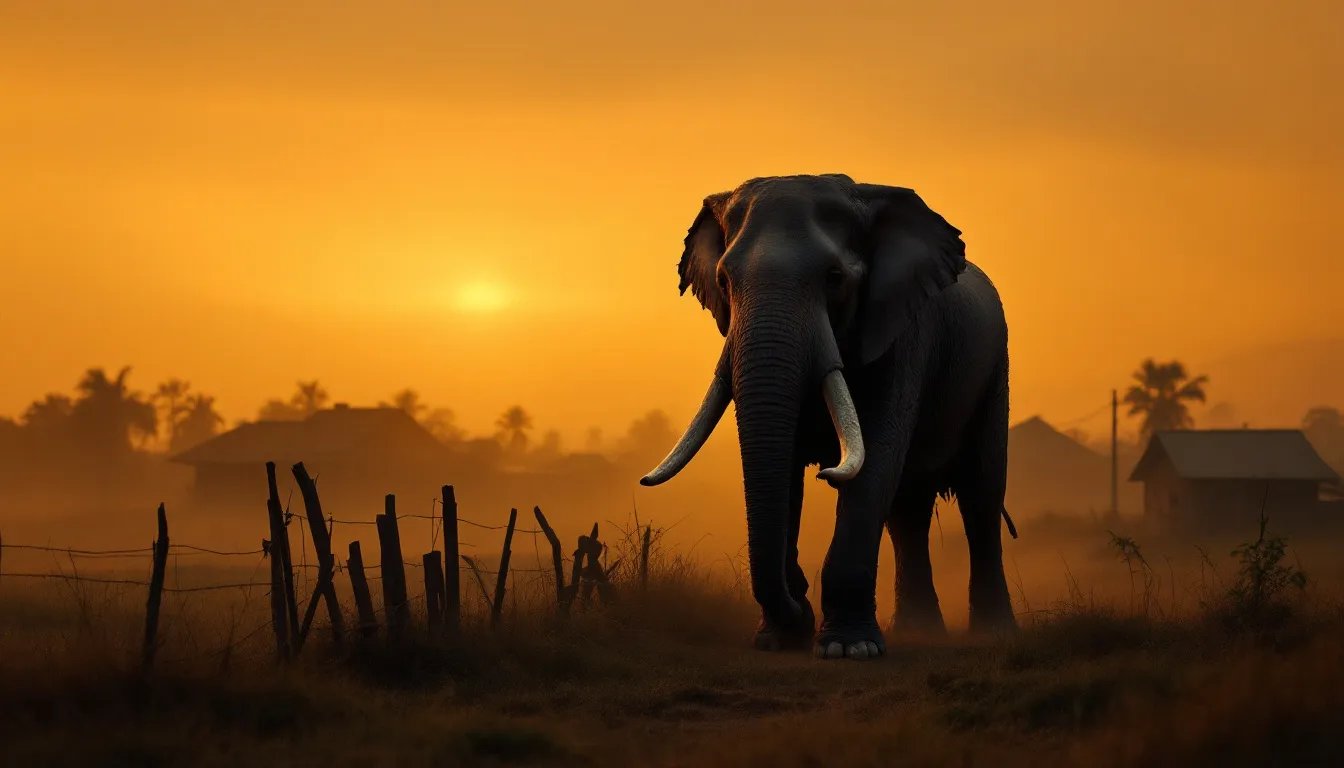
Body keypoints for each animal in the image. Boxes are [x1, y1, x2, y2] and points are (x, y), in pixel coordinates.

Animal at [640, 174, 1016, 660]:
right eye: (723, 280)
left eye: (834, 278)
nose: (799, 611)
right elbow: (787, 471)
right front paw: (779, 640)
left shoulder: (904, 334)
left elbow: (874, 460)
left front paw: (849, 649)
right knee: (908, 511)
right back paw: (920, 632)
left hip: (994, 371)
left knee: (981, 495)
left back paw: (995, 635)